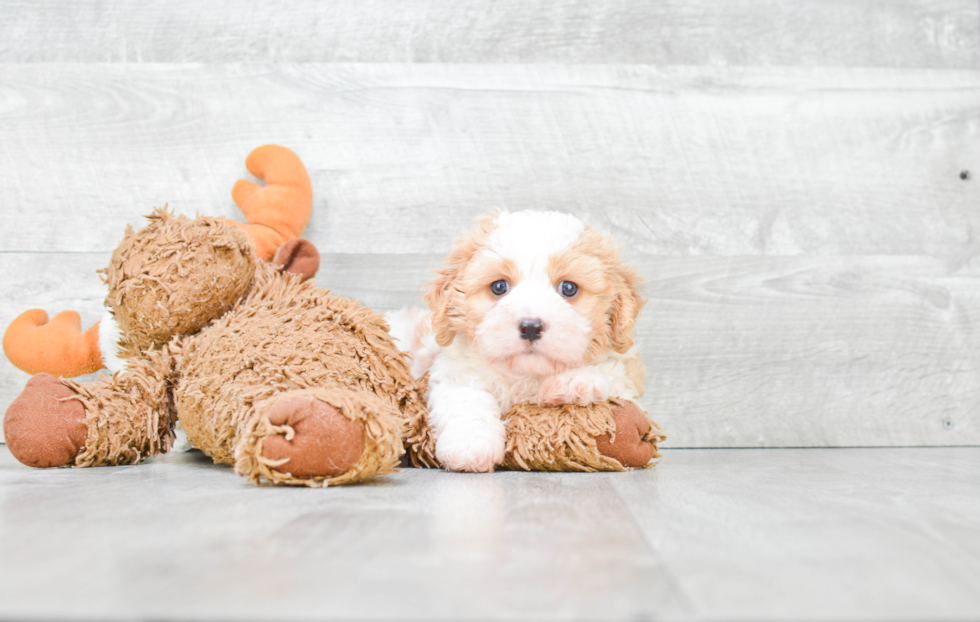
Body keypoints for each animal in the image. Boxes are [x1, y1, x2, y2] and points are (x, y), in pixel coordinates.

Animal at [386, 212, 648, 476]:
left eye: (568, 288)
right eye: (499, 286)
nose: (530, 327)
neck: (526, 372)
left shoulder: (629, 374)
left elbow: (613, 370)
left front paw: (574, 382)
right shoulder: (454, 373)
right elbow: (467, 400)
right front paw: (471, 447)